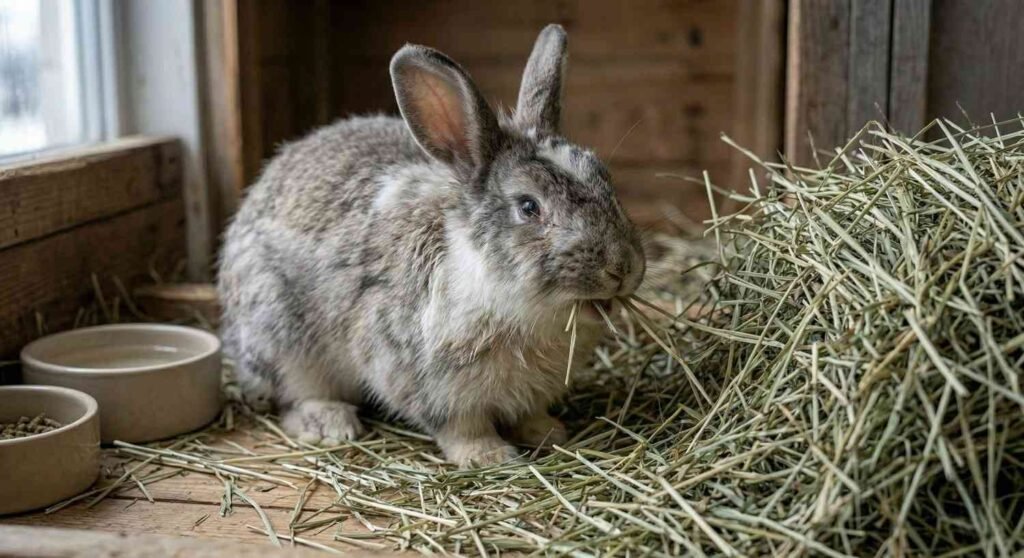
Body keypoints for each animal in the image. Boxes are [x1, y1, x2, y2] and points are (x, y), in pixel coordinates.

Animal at [218, 24, 645, 467]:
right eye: (529, 207)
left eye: (604, 177)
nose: (622, 267)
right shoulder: (425, 381)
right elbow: (460, 428)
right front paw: (489, 456)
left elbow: (529, 414)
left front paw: (548, 433)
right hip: (281, 335)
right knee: (293, 395)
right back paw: (331, 422)